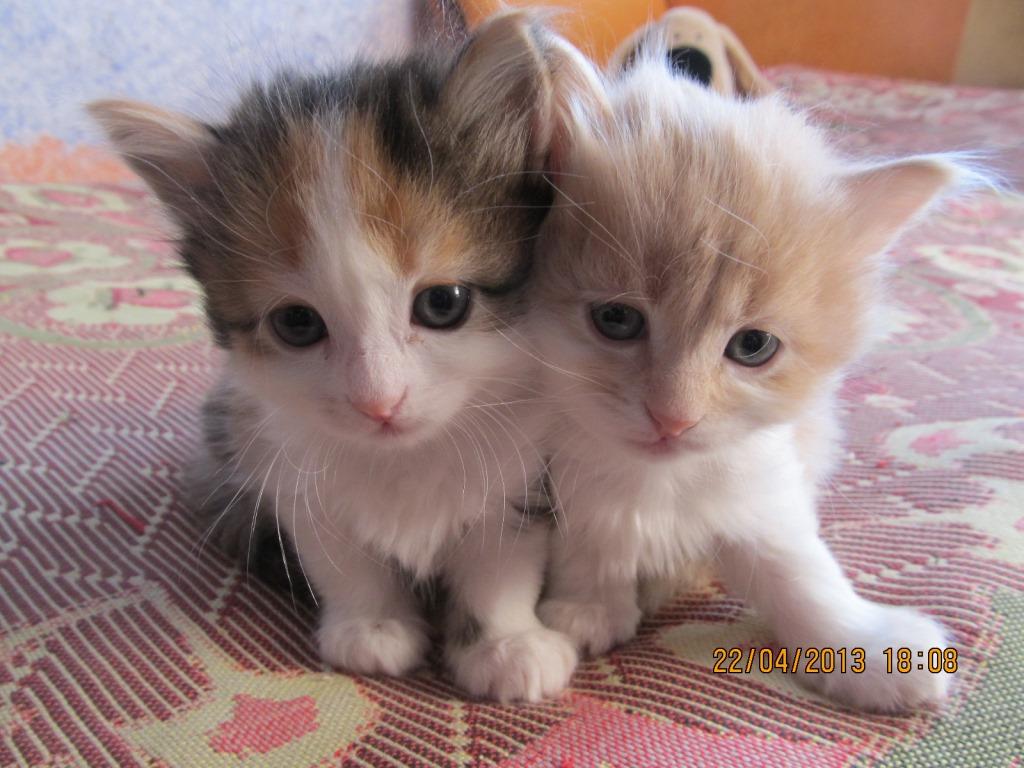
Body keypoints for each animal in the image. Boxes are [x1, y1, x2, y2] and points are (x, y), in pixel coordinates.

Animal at [89, 10, 578, 703]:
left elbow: (500, 565)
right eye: (297, 324)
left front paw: (506, 644)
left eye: (443, 304)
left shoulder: (524, 473)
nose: (379, 401)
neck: (404, 458)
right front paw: (371, 628)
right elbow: (342, 560)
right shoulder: (284, 467)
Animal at [528, 40, 974, 712]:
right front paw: (589, 606)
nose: (673, 417)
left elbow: (802, 577)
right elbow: (590, 538)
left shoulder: (762, 493)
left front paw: (867, 647)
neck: (652, 483)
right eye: (617, 320)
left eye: (753, 346)